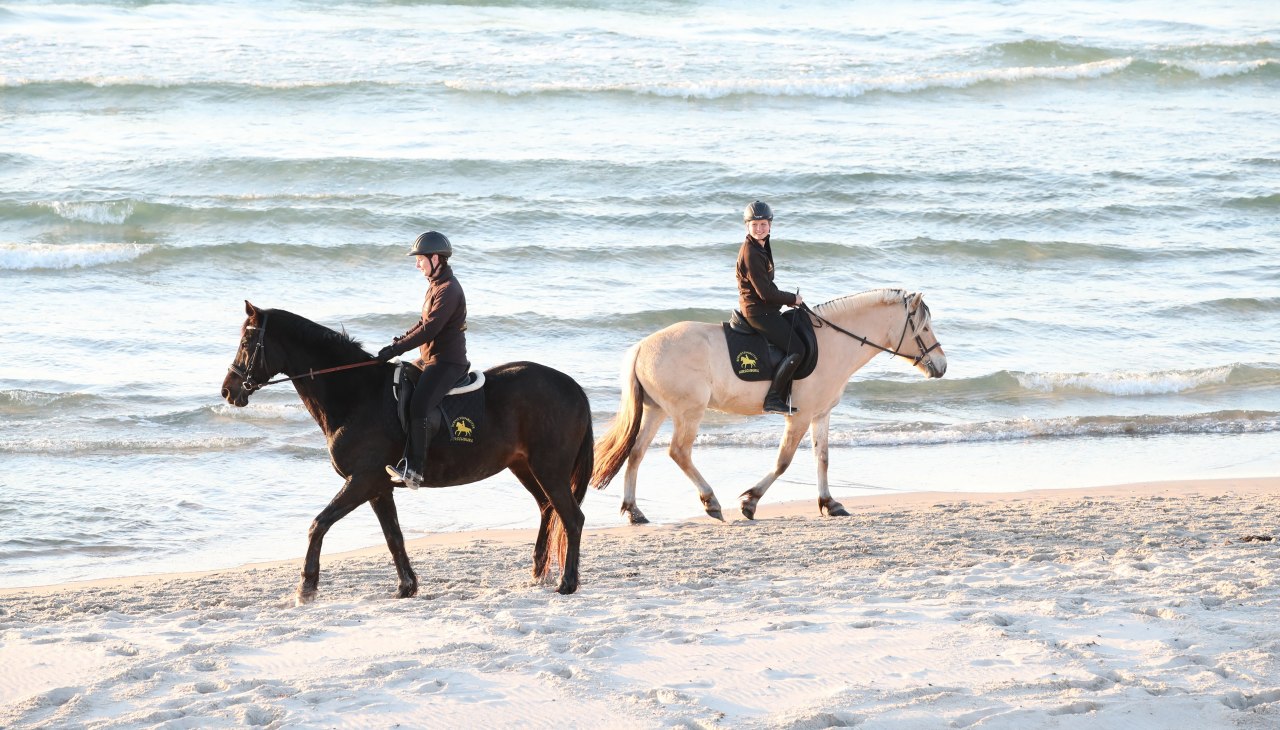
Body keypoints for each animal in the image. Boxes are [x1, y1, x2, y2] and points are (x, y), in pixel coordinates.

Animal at [221, 301, 593, 602]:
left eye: (246, 343)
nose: (228, 390)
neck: (357, 395)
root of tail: (574, 387)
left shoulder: (362, 480)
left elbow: (319, 524)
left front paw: (306, 588)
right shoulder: (378, 488)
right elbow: (393, 538)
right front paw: (406, 587)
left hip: (549, 468)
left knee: (572, 518)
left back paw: (567, 583)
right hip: (525, 467)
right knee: (547, 508)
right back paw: (539, 572)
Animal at [591, 289, 946, 524]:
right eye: (925, 327)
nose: (941, 366)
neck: (833, 342)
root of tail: (641, 347)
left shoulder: (821, 414)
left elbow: (822, 458)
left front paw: (829, 503)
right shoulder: (799, 416)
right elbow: (783, 461)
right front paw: (750, 502)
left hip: (657, 410)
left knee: (637, 453)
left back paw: (635, 511)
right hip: (687, 412)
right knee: (678, 452)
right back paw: (711, 502)